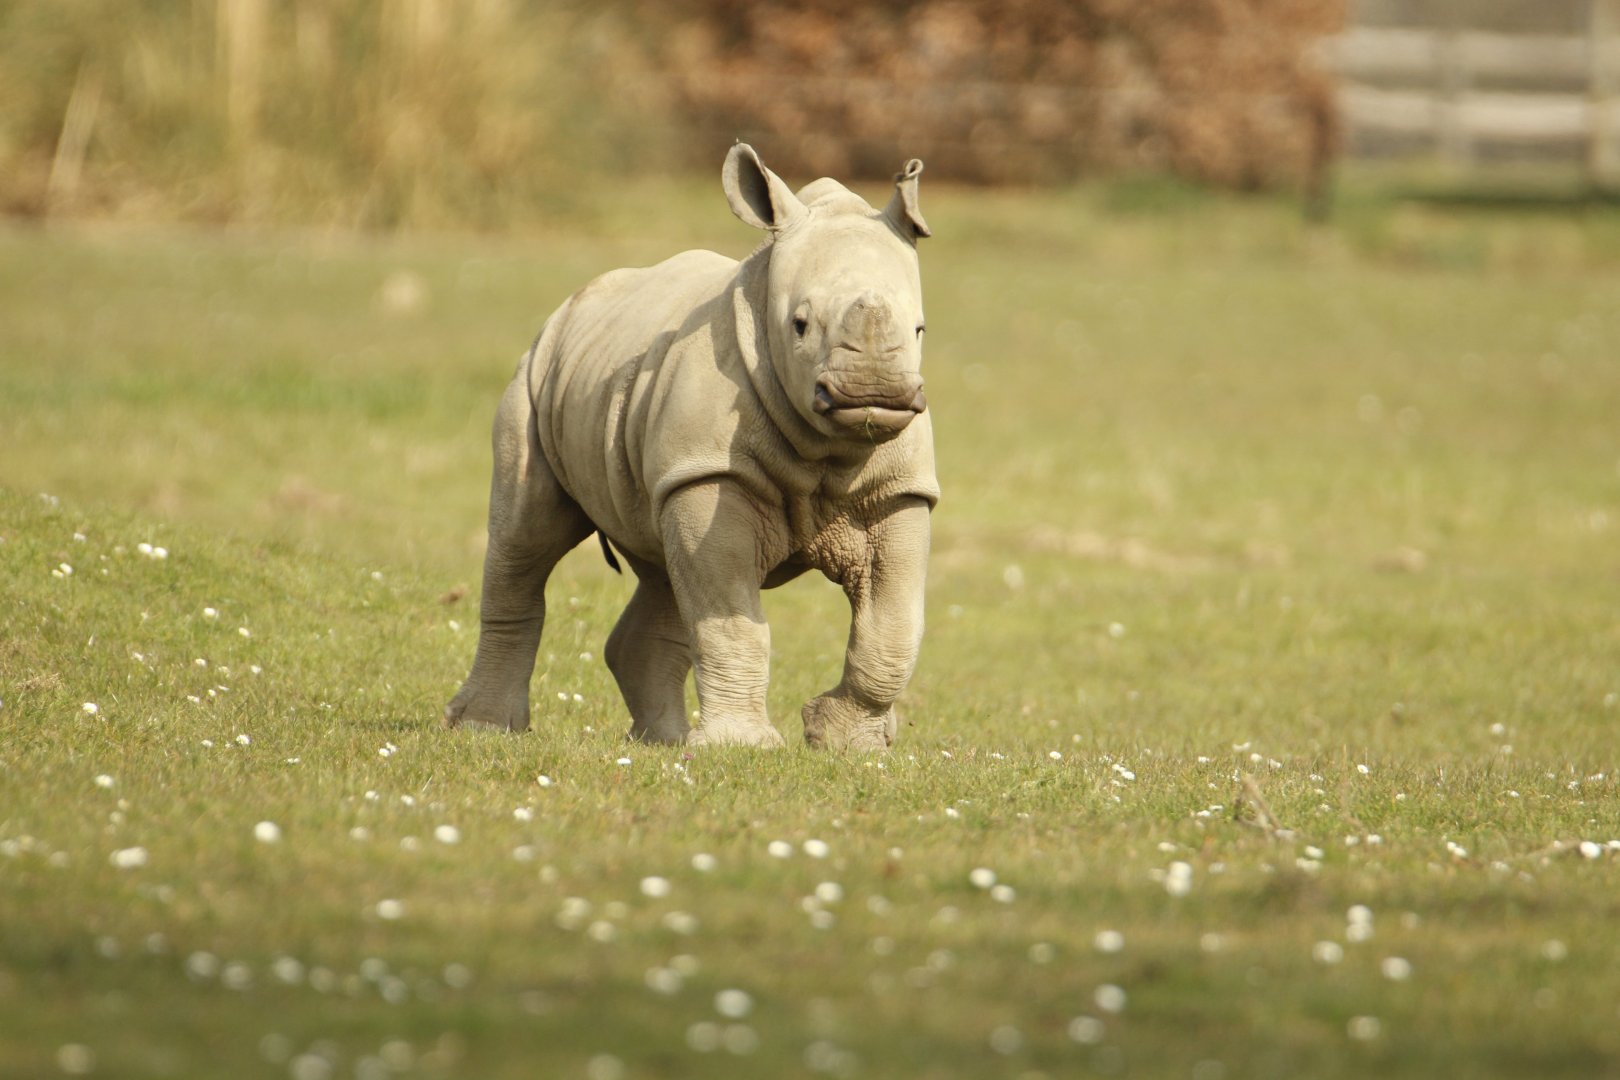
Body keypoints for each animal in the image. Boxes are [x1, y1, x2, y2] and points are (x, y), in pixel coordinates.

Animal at [444, 144, 938, 750]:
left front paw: (845, 742)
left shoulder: (900, 491)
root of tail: (565, 310)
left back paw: (663, 742)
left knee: (665, 570)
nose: (873, 390)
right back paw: (485, 728)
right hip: (534, 376)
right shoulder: (708, 470)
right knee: (526, 539)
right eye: (799, 325)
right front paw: (740, 748)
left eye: (918, 331)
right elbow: (730, 617)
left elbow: (891, 630)